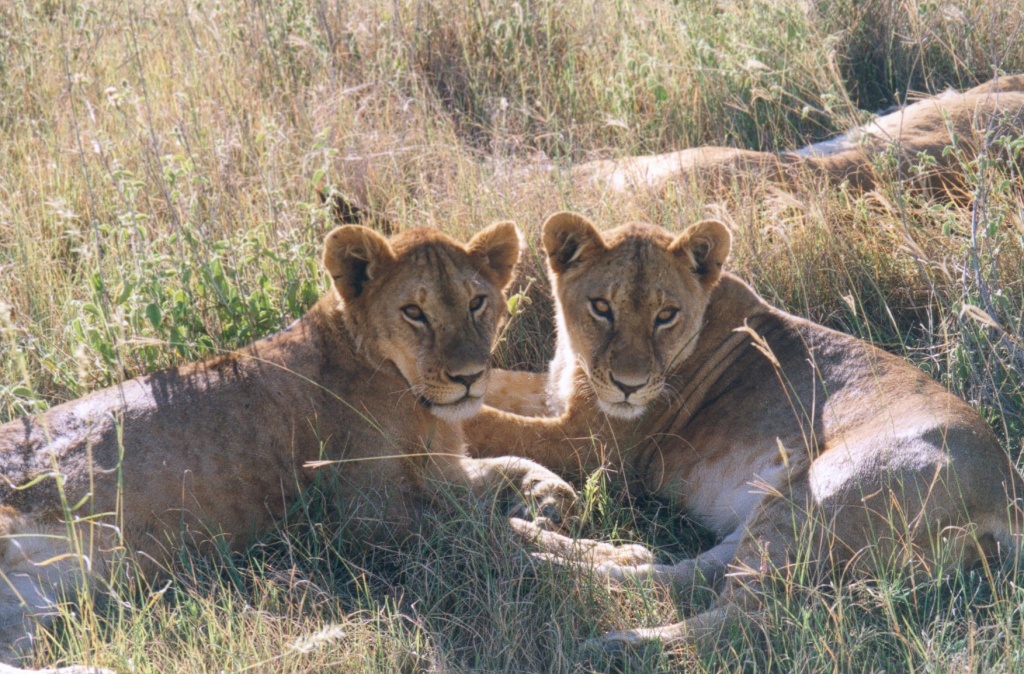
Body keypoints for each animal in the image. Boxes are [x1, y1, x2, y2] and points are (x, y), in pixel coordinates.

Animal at [0, 222, 577, 671]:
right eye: (414, 312)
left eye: (478, 302)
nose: (470, 377)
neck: (413, 401)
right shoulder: (373, 519)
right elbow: (501, 542)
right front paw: (594, 559)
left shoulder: (439, 471)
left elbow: (507, 469)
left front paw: (550, 494)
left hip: (33, 601)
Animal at [468, 211, 1024, 655]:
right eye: (602, 306)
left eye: (665, 315)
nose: (630, 386)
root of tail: (1008, 494)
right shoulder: (560, 401)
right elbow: (494, 389)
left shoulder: (594, 446)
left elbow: (491, 423)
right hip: (771, 509)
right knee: (680, 572)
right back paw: (539, 550)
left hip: (818, 494)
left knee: (750, 618)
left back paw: (614, 643)